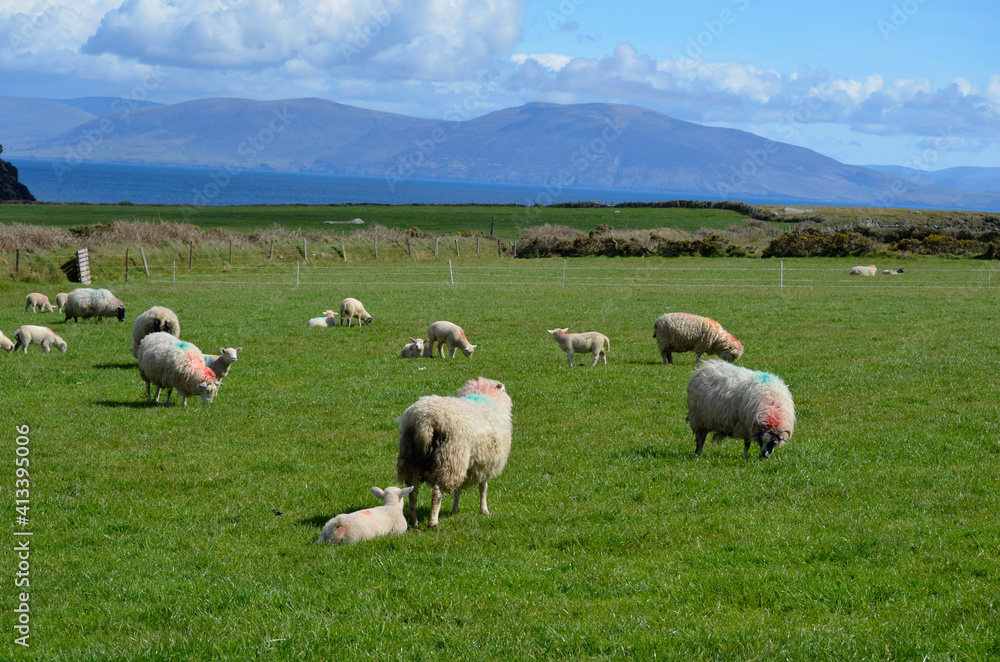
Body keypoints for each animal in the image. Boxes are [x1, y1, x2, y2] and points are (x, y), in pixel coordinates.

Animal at [397, 377, 513, 529]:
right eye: (503, 390)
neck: (485, 399)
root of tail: (426, 420)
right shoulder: (486, 463)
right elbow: (483, 488)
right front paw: (484, 510)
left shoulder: (469, 464)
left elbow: (459, 488)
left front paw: (454, 509)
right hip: (450, 458)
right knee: (437, 493)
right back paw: (433, 522)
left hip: (411, 460)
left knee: (413, 493)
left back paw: (414, 521)